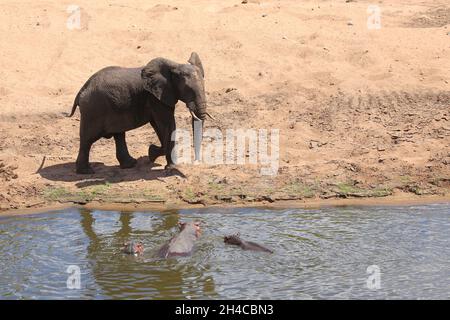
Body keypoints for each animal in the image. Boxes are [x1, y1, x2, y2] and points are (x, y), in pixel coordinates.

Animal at [69, 52, 211, 175]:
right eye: (188, 89)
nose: (196, 162)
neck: (174, 66)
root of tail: (82, 89)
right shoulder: (155, 97)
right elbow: (167, 124)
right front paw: (170, 166)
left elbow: (158, 125)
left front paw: (152, 153)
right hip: (93, 110)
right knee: (87, 139)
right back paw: (86, 171)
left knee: (119, 135)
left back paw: (130, 164)